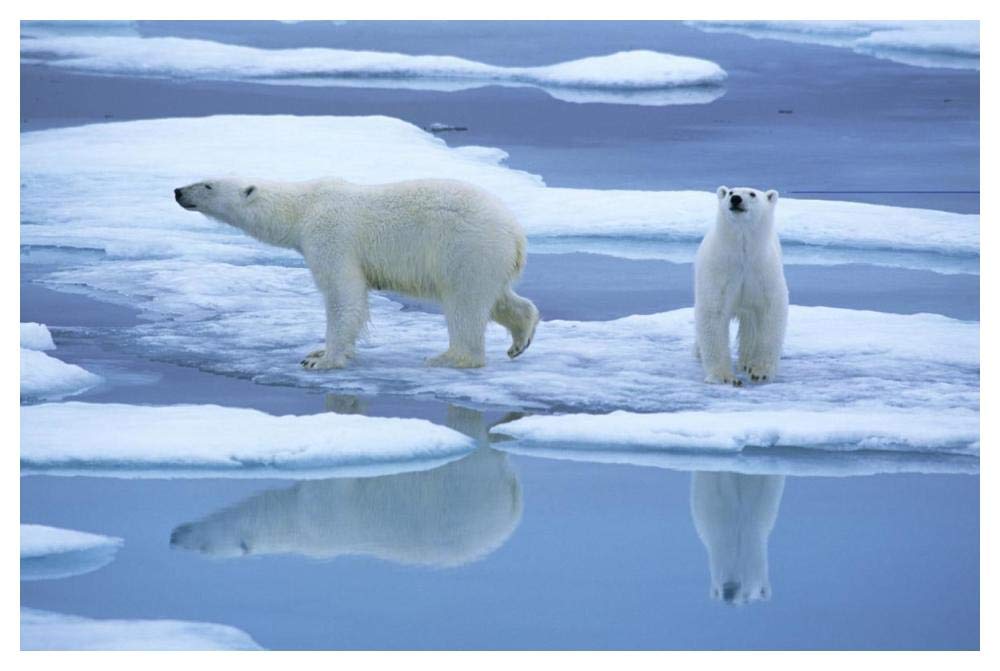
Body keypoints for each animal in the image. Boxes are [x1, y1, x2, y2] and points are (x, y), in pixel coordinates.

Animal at [174, 177, 540, 369]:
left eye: (207, 185)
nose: (178, 191)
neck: (303, 207)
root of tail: (516, 233)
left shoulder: (330, 236)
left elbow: (343, 294)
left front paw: (323, 359)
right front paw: (317, 352)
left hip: (466, 247)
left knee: (464, 303)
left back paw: (449, 357)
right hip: (488, 257)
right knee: (497, 298)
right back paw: (520, 339)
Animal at [694, 186, 788, 385]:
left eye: (752, 194)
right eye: (730, 192)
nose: (736, 199)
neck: (743, 254)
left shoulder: (763, 272)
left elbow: (771, 311)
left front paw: (760, 372)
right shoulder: (720, 270)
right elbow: (713, 313)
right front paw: (725, 377)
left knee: (751, 326)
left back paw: (746, 361)